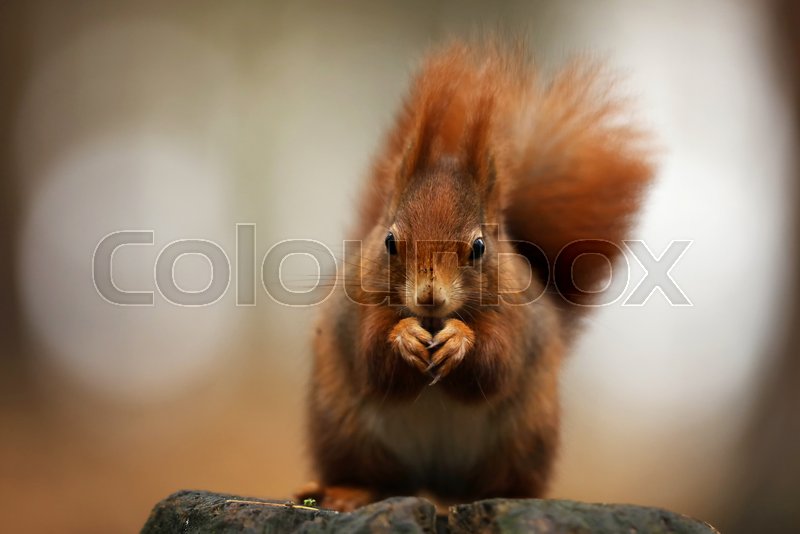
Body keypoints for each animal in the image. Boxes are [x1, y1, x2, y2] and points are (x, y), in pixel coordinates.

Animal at [297, 40, 653, 512]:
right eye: (390, 242)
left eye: (480, 247)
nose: (429, 298)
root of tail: (432, 482)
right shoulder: (356, 307)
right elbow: (372, 356)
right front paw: (403, 336)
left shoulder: (515, 316)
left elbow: (496, 364)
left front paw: (459, 340)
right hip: (343, 428)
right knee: (378, 478)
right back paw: (348, 490)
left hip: (524, 439)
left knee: (495, 483)